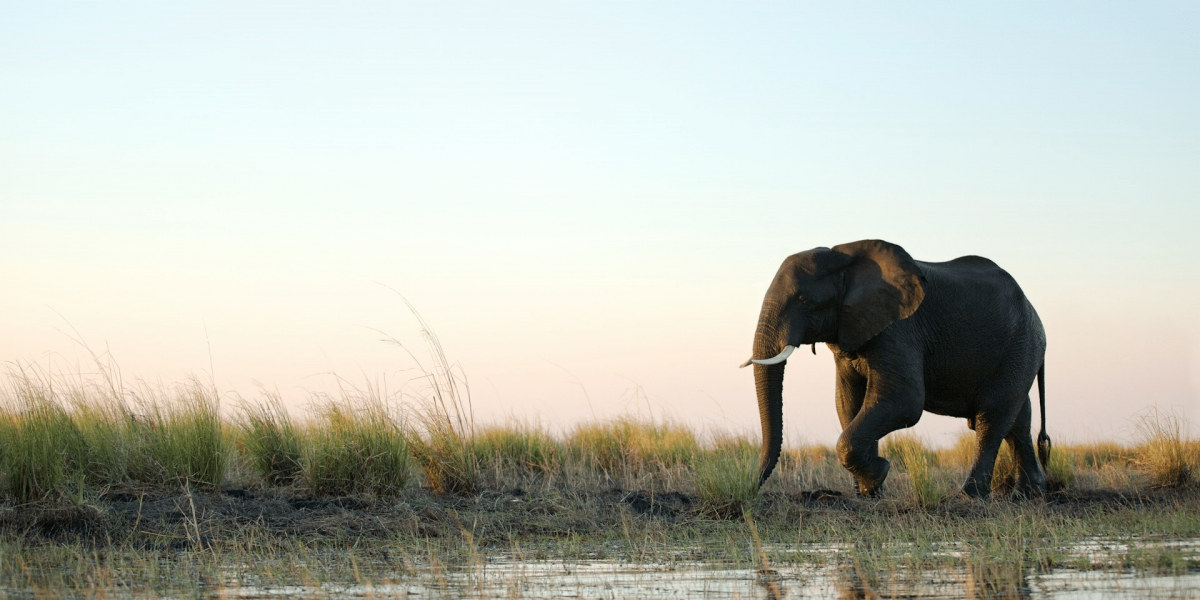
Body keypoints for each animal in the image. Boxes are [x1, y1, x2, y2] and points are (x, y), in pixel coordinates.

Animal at [739, 238, 1051, 496]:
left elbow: (903, 400)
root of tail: (1035, 312)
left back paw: (970, 495)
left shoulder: (900, 328)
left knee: (992, 416)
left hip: (1020, 344)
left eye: (804, 301)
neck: (845, 259)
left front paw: (880, 472)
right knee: (1018, 419)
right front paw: (868, 492)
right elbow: (848, 403)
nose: (753, 488)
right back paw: (1029, 494)